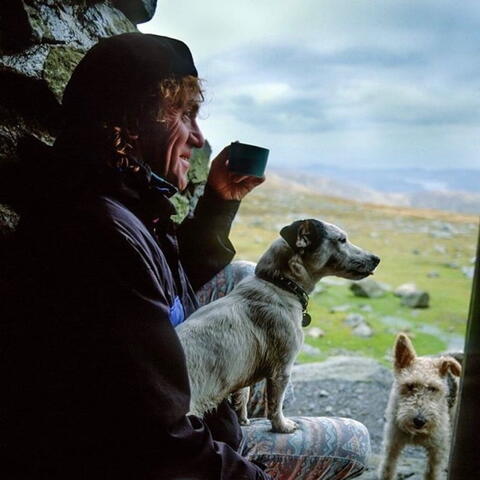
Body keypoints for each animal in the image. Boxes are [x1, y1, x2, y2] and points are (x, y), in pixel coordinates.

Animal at [176, 219, 378, 434]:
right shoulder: (281, 370)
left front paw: (243, 420)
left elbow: (242, 396)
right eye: (342, 240)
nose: (377, 259)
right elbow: (275, 405)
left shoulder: (241, 374)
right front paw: (282, 426)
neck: (280, 284)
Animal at [378, 334, 462, 480]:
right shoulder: (393, 442)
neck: (417, 434)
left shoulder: (437, 449)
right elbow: (387, 469)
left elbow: (431, 473)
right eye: (410, 385)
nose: (419, 421)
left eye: (433, 388)